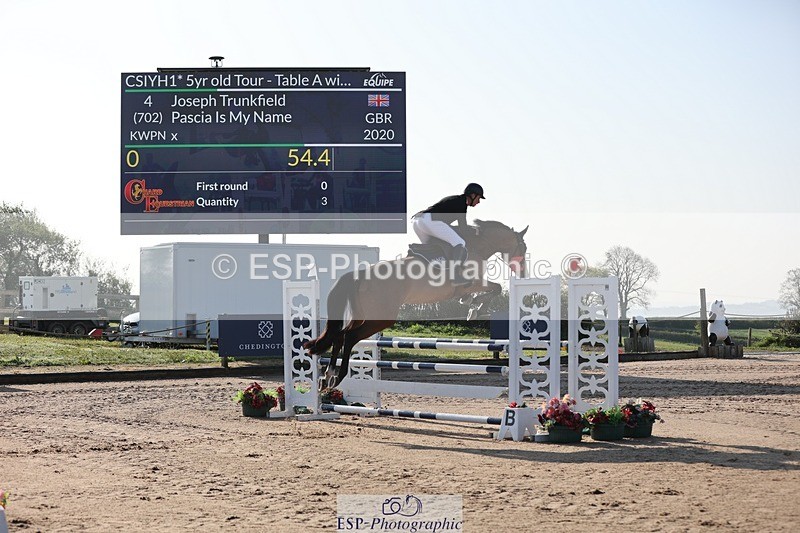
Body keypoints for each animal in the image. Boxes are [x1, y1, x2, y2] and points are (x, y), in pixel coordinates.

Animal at [304, 219, 528, 388]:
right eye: (523, 247)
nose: (523, 274)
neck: (477, 246)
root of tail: (360, 275)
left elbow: (488, 291)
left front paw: (472, 305)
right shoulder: (471, 282)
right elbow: (495, 288)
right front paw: (477, 307)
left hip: (362, 315)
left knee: (340, 336)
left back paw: (327, 376)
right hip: (381, 318)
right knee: (349, 336)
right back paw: (337, 377)